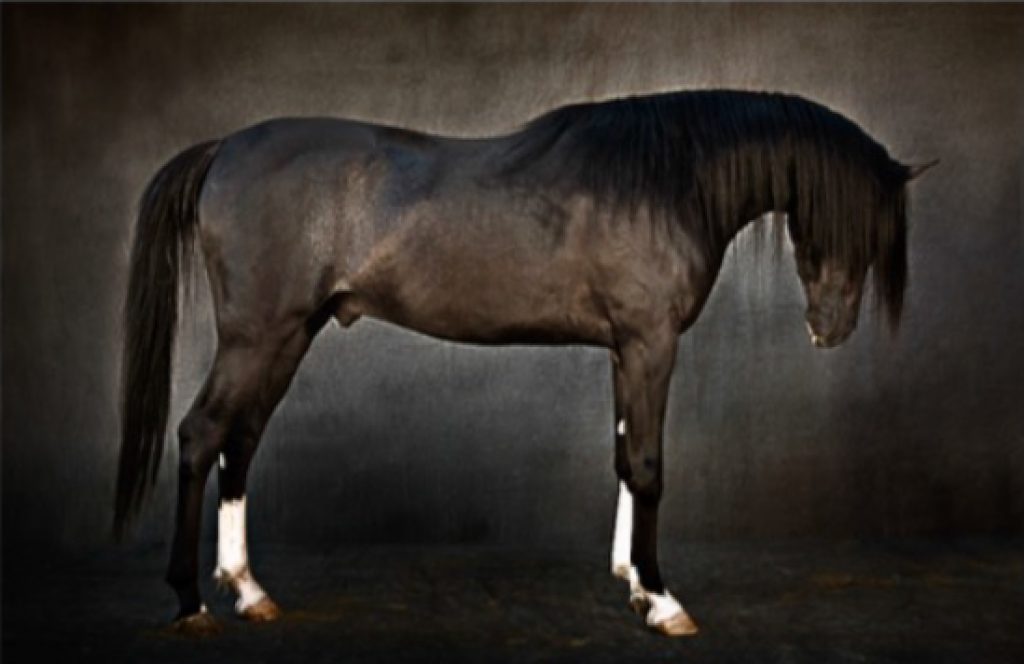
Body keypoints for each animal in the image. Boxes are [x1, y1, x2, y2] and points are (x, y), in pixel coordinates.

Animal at [114, 89, 934, 637]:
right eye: (841, 218)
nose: (829, 329)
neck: (667, 179)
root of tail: (225, 148)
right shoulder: (650, 342)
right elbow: (648, 466)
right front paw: (663, 599)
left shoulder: (626, 349)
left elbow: (622, 457)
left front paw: (632, 583)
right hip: (258, 334)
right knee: (200, 436)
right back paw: (190, 600)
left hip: (289, 335)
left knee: (241, 442)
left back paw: (248, 591)